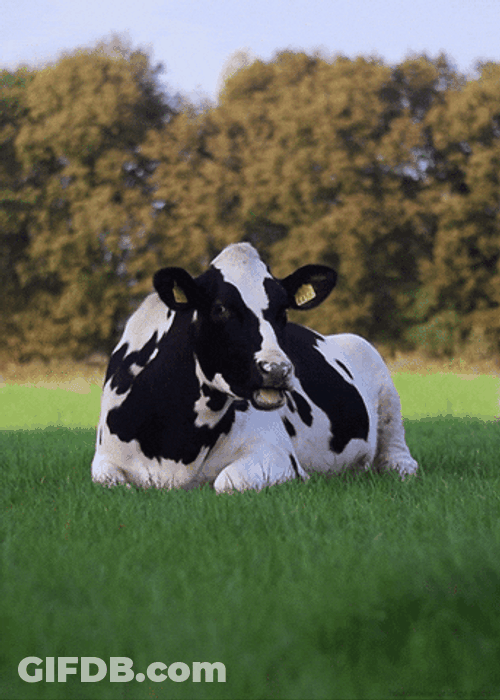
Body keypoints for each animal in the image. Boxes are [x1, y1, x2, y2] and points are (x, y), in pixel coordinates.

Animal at [92, 243, 418, 493]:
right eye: (220, 308)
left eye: (283, 310)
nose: (277, 369)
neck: (177, 443)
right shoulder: (103, 462)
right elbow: (112, 482)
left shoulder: (276, 453)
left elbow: (225, 482)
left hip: (383, 383)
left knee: (398, 454)